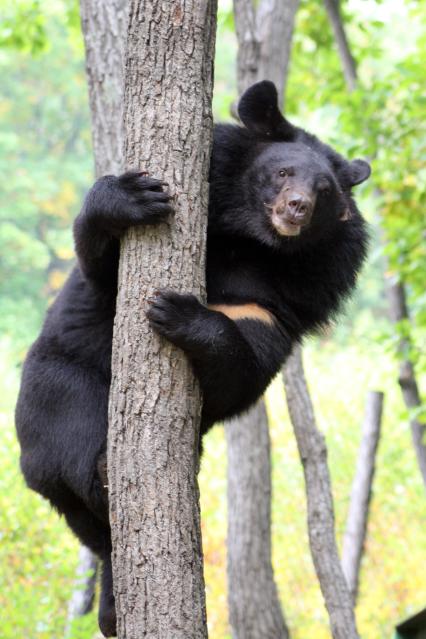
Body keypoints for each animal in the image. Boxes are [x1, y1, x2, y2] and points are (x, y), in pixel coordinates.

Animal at [15, 82, 370, 636]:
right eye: (283, 173)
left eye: (326, 191)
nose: (296, 208)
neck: (255, 246)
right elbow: (105, 275)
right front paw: (132, 198)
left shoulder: (286, 302)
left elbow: (242, 367)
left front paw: (180, 312)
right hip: (53, 388)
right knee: (64, 448)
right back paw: (101, 473)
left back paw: (113, 606)